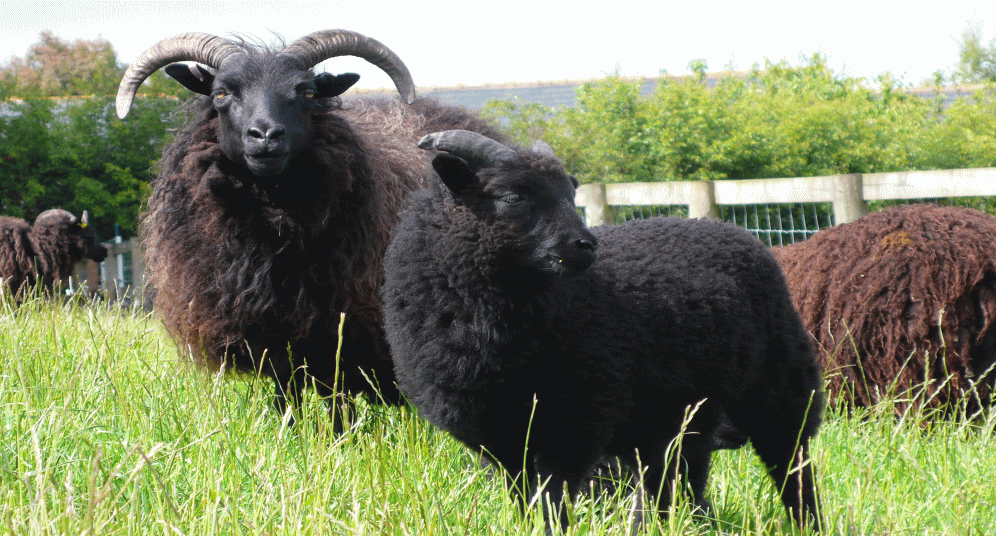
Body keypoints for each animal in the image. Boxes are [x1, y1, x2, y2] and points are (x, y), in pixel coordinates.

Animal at [116, 30, 506, 432]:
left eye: (306, 92)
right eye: (221, 92)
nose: (265, 135)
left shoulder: (341, 332)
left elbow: (338, 402)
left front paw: (341, 440)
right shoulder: (270, 334)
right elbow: (285, 397)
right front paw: (290, 436)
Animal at [382, 129, 824, 532]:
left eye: (570, 193)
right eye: (512, 197)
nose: (585, 245)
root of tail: (721, 226)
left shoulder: (575, 425)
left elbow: (553, 505)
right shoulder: (501, 440)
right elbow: (525, 504)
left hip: (780, 383)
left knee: (791, 464)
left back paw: (808, 523)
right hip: (682, 412)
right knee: (679, 478)